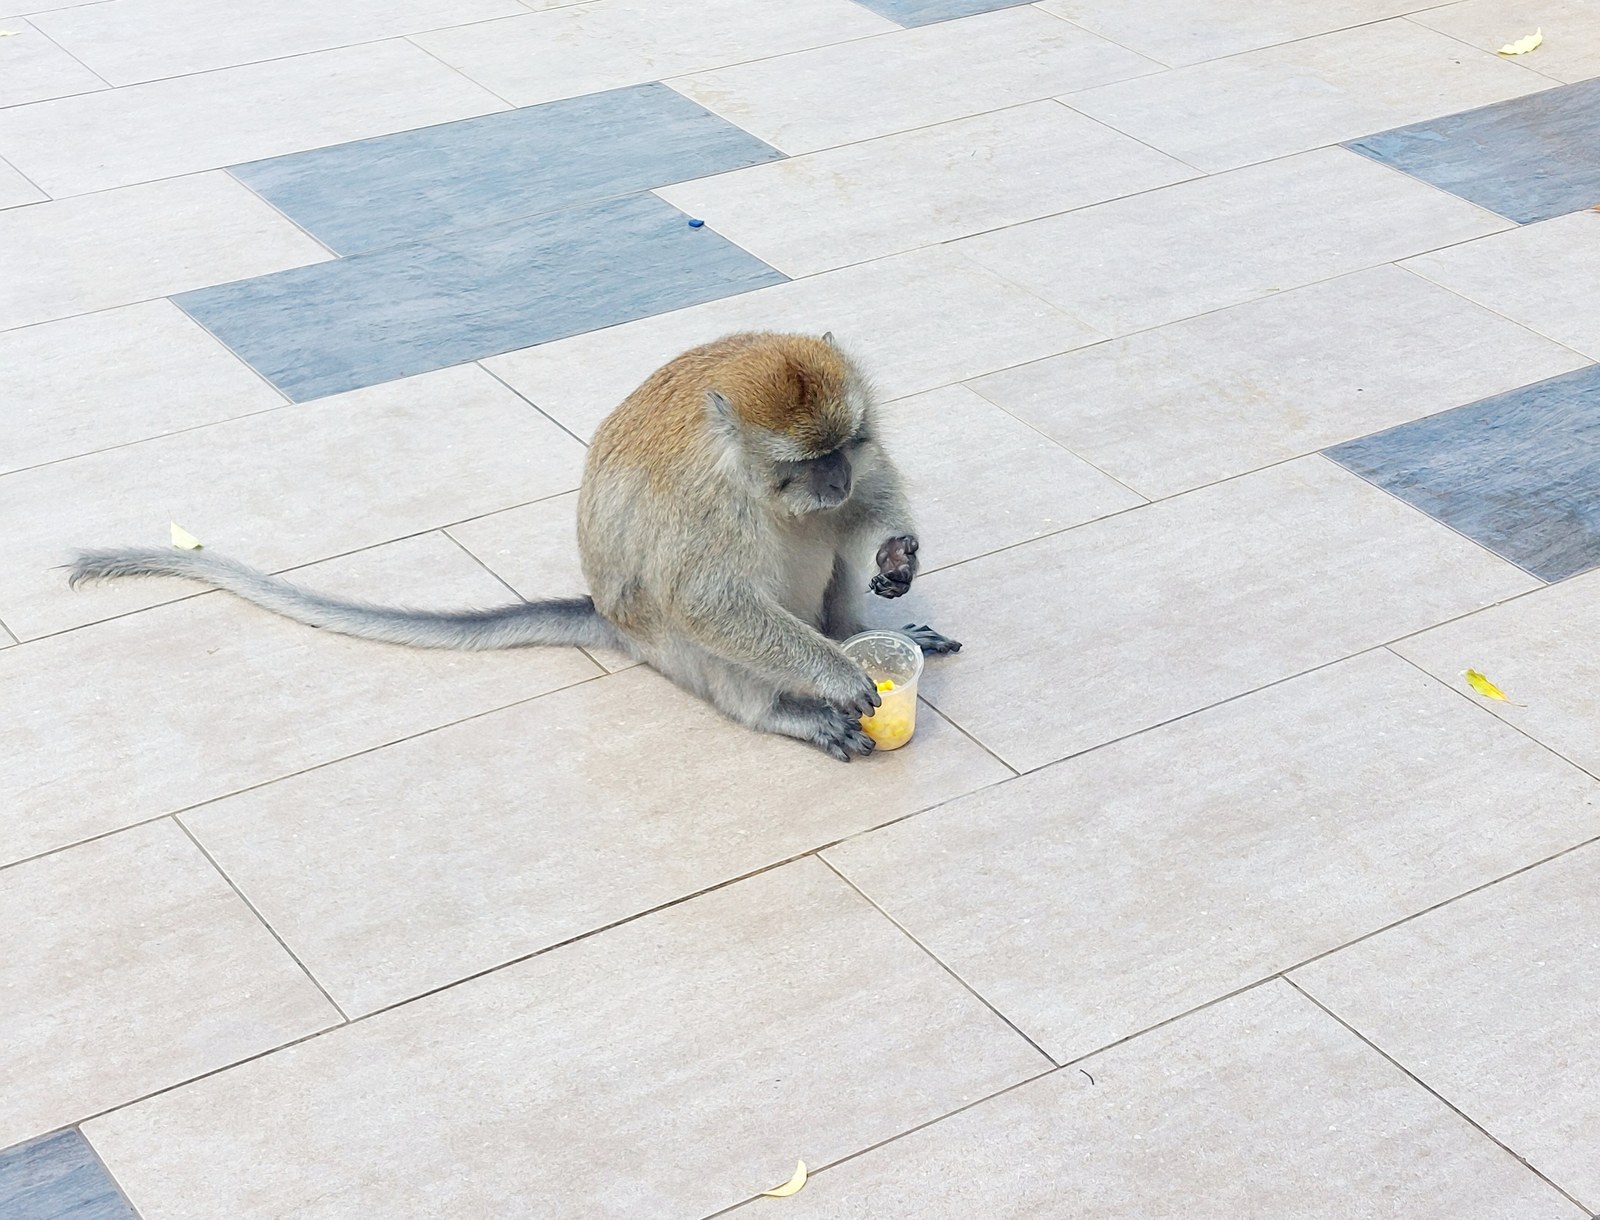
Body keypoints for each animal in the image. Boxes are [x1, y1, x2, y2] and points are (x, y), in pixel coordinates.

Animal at [67, 331, 961, 761]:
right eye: (806, 462)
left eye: (847, 444)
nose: (834, 480)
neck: (742, 466)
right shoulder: (705, 507)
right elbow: (705, 602)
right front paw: (837, 677)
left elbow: (870, 504)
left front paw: (896, 555)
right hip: (668, 648)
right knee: (699, 624)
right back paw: (790, 705)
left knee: (821, 538)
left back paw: (854, 629)